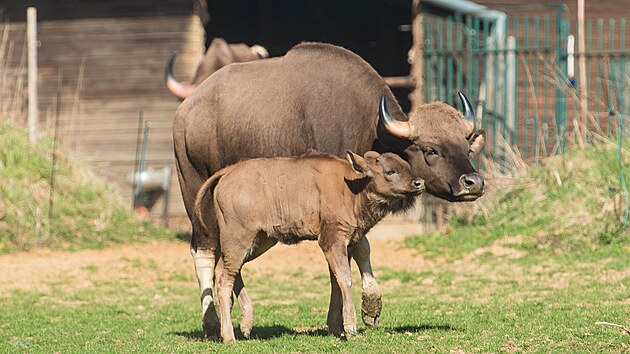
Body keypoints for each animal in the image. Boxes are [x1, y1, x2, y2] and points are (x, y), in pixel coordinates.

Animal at [195, 150, 428, 342]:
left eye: (406, 164)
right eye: (390, 171)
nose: (419, 183)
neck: (351, 186)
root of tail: (227, 173)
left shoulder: (346, 243)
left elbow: (336, 281)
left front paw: (336, 327)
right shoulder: (332, 240)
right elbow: (345, 278)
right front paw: (350, 328)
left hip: (260, 240)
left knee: (229, 270)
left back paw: (246, 324)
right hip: (238, 239)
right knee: (223, 276)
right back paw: (229, 336)